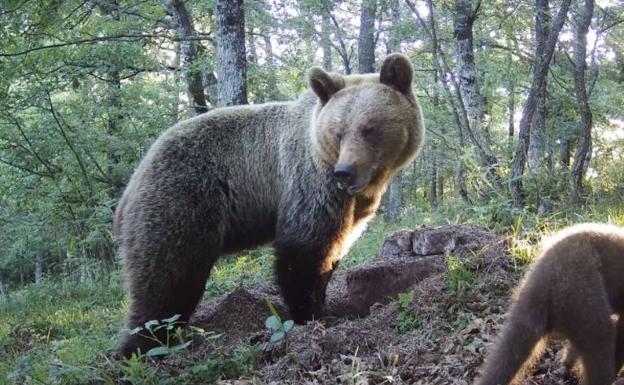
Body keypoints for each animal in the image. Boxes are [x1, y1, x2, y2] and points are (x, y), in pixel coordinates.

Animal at [113, 52, 424, 356]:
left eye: (369, 128)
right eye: (338, 132)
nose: (344, 171)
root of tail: (132, 185)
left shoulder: (354, 207)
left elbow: (334, 249)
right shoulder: (308, 184)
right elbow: (303, 251)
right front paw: (310, 315)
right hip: (182, 201)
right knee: (167, 279)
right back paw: (141, 346)